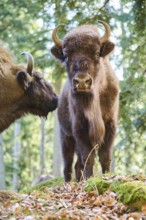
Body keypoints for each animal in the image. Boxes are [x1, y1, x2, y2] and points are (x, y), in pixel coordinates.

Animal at [50, 21, 119, 182]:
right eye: (66, 56)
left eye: (97, 53)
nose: (82, 82)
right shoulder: (80, 128)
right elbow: (88, 157)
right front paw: (89, 179)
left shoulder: (110, 125)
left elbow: (105, 156)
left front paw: (106, 176)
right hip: (65, 136)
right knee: (68, 165)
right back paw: (68, 183)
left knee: (77, 165)